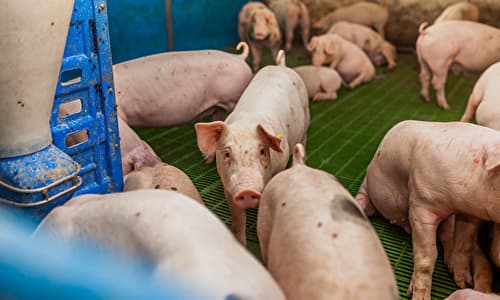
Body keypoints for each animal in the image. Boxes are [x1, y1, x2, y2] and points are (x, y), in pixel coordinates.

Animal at [194, 50, 308, 245]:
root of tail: (281, 66)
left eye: (262, 151)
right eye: (227, 153)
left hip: (306, 117)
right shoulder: (227, 185)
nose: (247, 190)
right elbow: (238, 218)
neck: (246, 124)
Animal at [356, 120, 500, 300]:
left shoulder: (469, 213)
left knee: (447, 235)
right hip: (368, 188)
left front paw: (463, 283)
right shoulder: (421, 203)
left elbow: (463, 245)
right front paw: (418, 297)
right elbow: (427, 256)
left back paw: (450, 264)